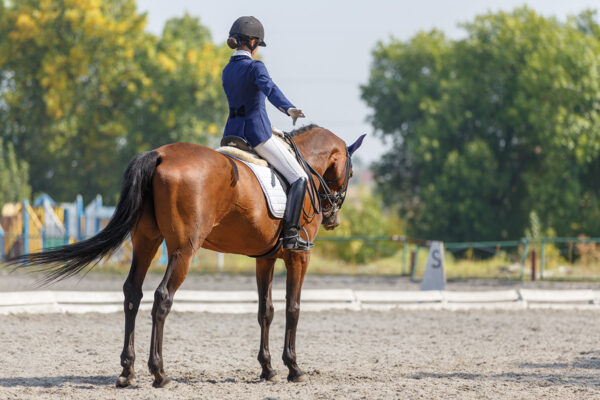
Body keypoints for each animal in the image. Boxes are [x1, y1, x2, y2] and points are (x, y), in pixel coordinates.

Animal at [10, 124, 366, 388]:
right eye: (350, 174)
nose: (332, 217)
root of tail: (160, 154)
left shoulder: (264, 258)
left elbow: (265, 311)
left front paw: (267, 369)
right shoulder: (297, 258)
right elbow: (293, 309)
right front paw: (293, 368)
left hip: (146, 241)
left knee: (132, 294)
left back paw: (128, 373)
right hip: (184, 250)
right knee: (162, 297)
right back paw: (160, 373)